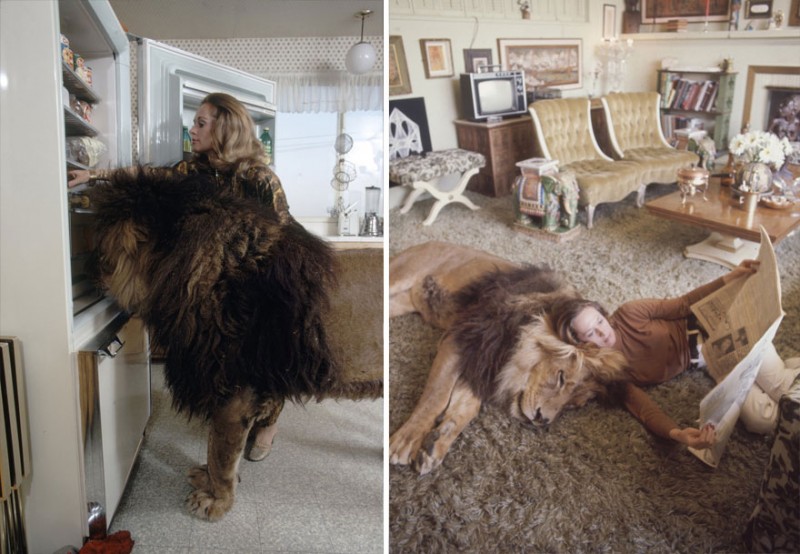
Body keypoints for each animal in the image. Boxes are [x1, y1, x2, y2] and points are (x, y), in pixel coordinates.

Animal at [89, 168, 382, 516]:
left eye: (102, 249)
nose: (90, 274)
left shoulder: (235, 393)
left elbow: (221, 455)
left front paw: (215, 501)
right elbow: (213, 447)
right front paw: (205, 479)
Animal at [388, 239, 624, 472]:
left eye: (573, 405)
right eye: (561, 378)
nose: (542, 420)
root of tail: (427, 242)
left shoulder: (483, 367)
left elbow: (465, 408)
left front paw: (435, 445)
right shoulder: (460, 341)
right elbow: (436, 396)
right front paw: (407, 441)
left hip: (401, 303)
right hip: (400, 276)